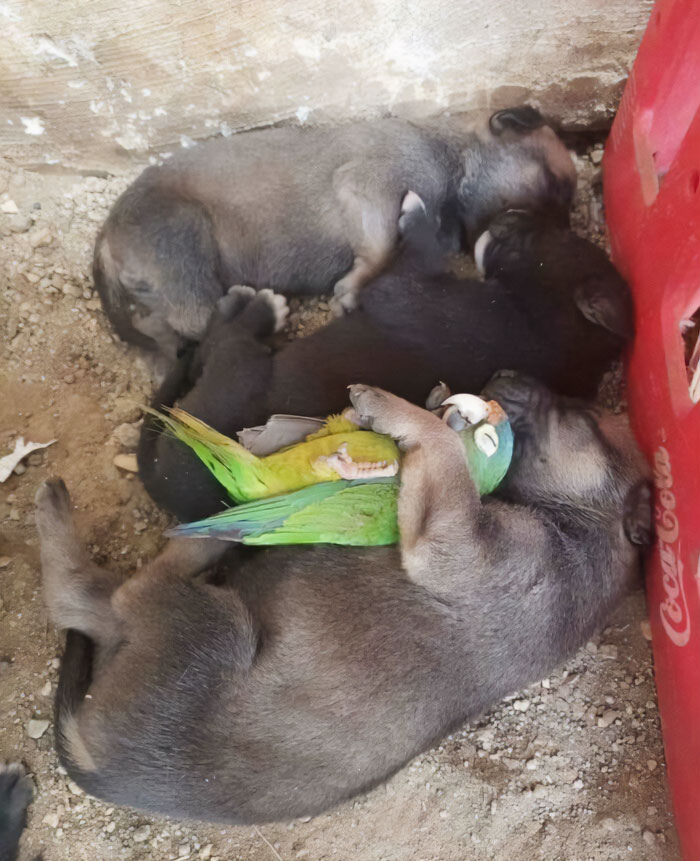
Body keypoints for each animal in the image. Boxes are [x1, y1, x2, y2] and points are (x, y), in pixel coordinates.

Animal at [34, 372, 652, 824]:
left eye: (581, 419)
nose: (505, 374)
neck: (587, 522)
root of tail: (95, 764)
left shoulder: (462, 546)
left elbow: (444, 453)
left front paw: (396, 410)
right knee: (98, 607)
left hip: (214, 625)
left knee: (109, 595)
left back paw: (188, 537)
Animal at [93, 104, 576, 360]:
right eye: (556, 185)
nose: (563, 235)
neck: (455, 156)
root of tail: (107, 234)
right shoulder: (369, 186)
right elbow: (379, 249)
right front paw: (352, 290)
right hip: (185, 239)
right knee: (198, 318)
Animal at [138, 209, 636, 520]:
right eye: (568, 235)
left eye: (535, 241)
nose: (506, 215)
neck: (547, 330)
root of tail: (167, 482)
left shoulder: (401, 290)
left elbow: (413, 250)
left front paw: (418, 213)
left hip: (235, 375)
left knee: (224, 341)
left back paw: (256, 307)